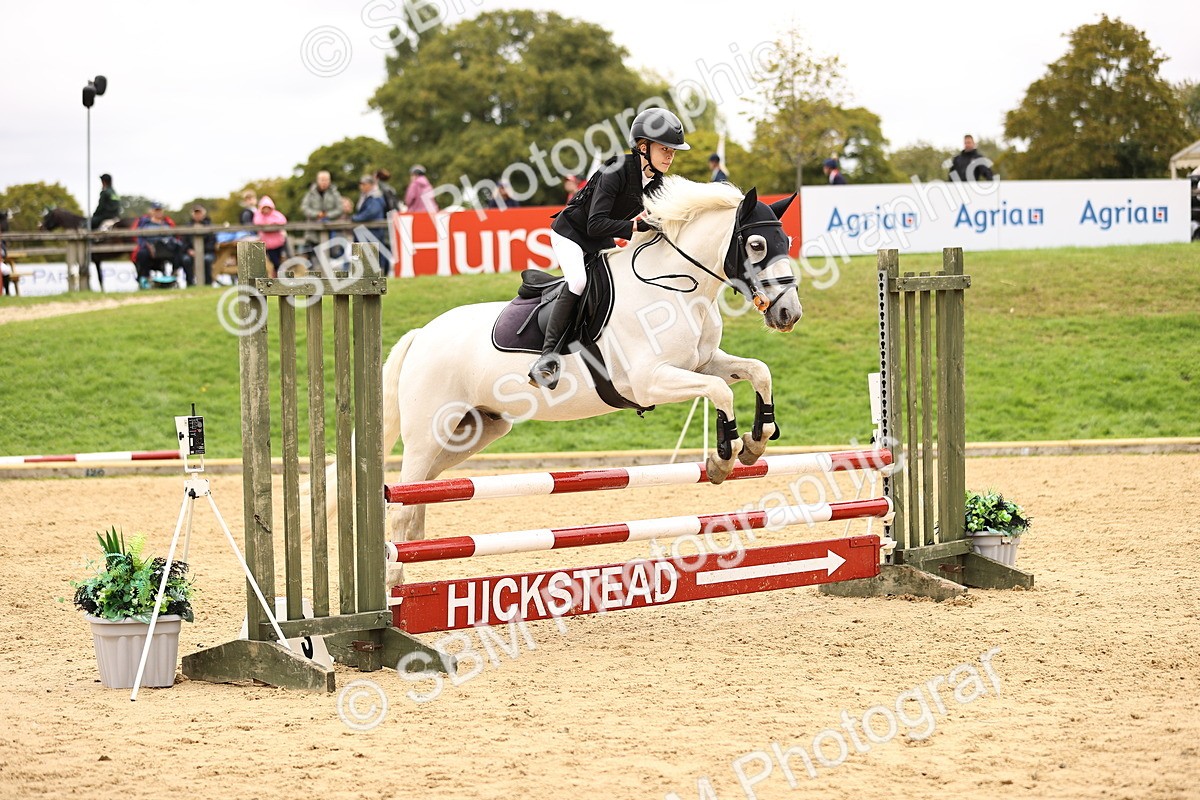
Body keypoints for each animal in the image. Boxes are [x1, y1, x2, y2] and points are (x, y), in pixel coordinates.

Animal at [325, 177, 802, 544]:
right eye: (756, 244)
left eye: (788, 241)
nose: (789, 313)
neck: (675, 286)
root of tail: (421, 335)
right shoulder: (651, 380)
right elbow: (721, 390)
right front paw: (724, 457)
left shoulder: (701, 363)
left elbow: (757, 372)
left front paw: (758, 439)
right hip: (429, 431)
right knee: (404, 502)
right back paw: (394, 584)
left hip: (473, 431)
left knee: (420, 491)